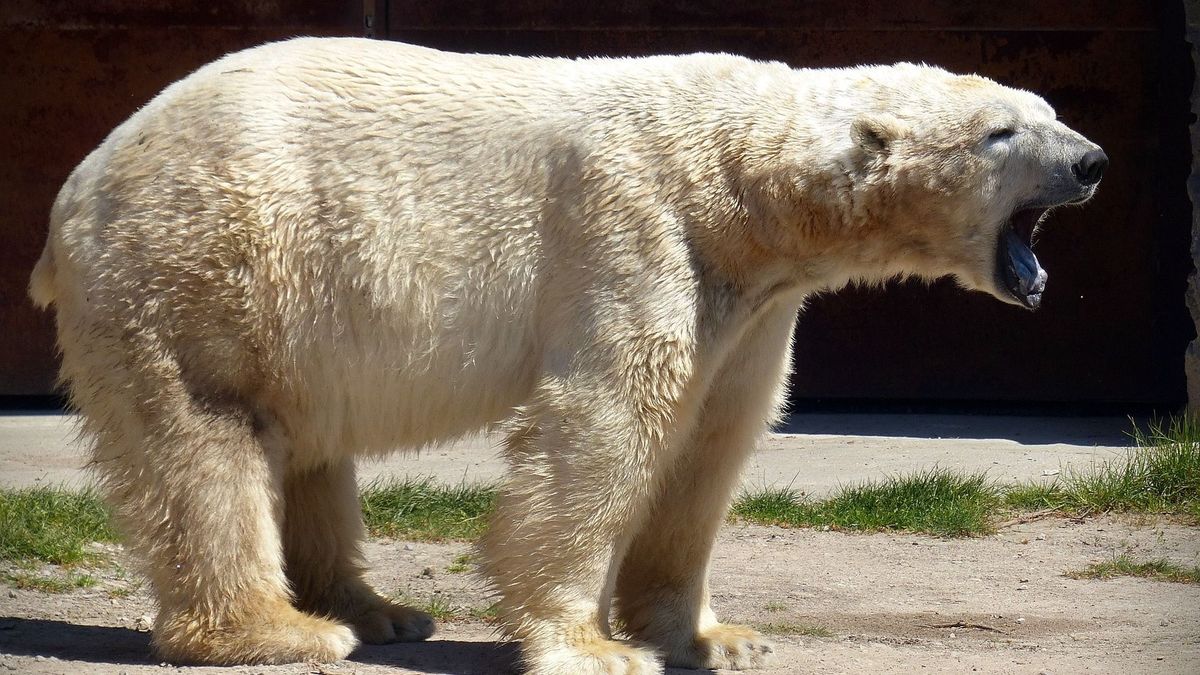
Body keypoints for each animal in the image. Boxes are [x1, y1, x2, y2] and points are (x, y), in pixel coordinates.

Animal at [28, 38, 1099, 672]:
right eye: (1000, 132)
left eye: (1042, 106)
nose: (1091, 160)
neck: (741, 181)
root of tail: (80, 183)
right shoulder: (634, 229)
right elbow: (606, 423)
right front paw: (592, 645)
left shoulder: (752, 302)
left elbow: (712, 441)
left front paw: (716, 635)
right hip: (206, 265)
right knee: (210, 437)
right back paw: (281, 629)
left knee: (307, 445)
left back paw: (379, 610)